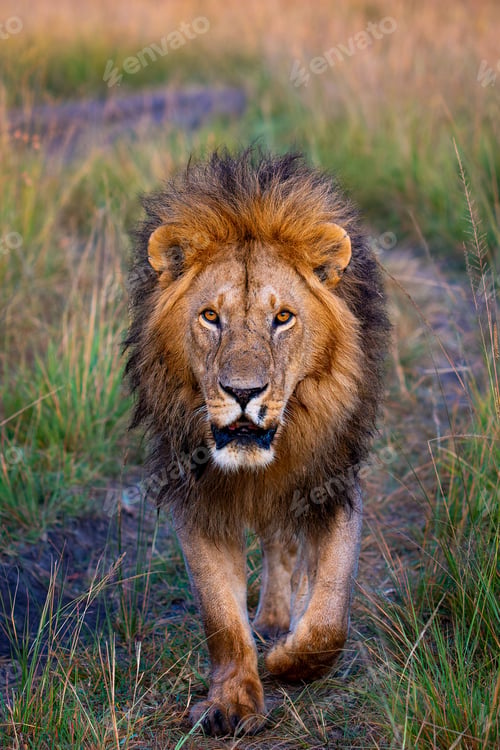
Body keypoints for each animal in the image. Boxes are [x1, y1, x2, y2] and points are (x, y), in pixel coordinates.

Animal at [124, 149, 390, 736]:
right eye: (210, 316)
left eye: (283, 318)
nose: (243, 393)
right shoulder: (196, 500)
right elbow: (221, 617)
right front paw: (232, 702)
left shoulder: (332, 484)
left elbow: (329, 615)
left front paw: (287, 660)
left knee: (282, 545)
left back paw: (276, 623)